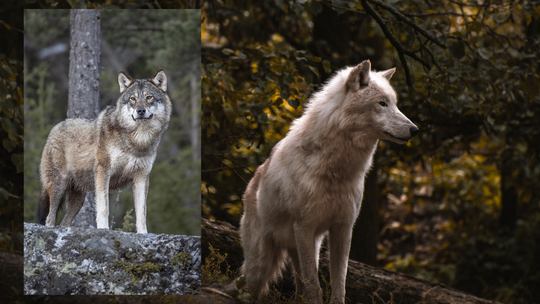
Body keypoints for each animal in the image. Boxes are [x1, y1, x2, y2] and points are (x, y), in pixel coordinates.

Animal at [36, 70, 171, 234]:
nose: (140, 111)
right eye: (132, 99)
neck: (136, 142)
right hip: (58, 186)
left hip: (78, 199)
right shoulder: (103, 172)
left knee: (64, 222)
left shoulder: (141, 177)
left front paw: (143, 234)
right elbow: (104, 207)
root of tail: (54, 129)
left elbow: (141, 212)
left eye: (149, 97)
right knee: (49, 218)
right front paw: (103, 229)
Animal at [238, 60, 420, 302]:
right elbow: (315, 287)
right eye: (382, 103)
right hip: (261, 265)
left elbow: (339, 284)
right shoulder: (304, 227)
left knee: (299, 288)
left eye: (395, 104)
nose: (415, 130)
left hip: (307, 249)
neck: (336, 172)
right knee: (252, 288)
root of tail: (252, 183)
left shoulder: (343, 228)